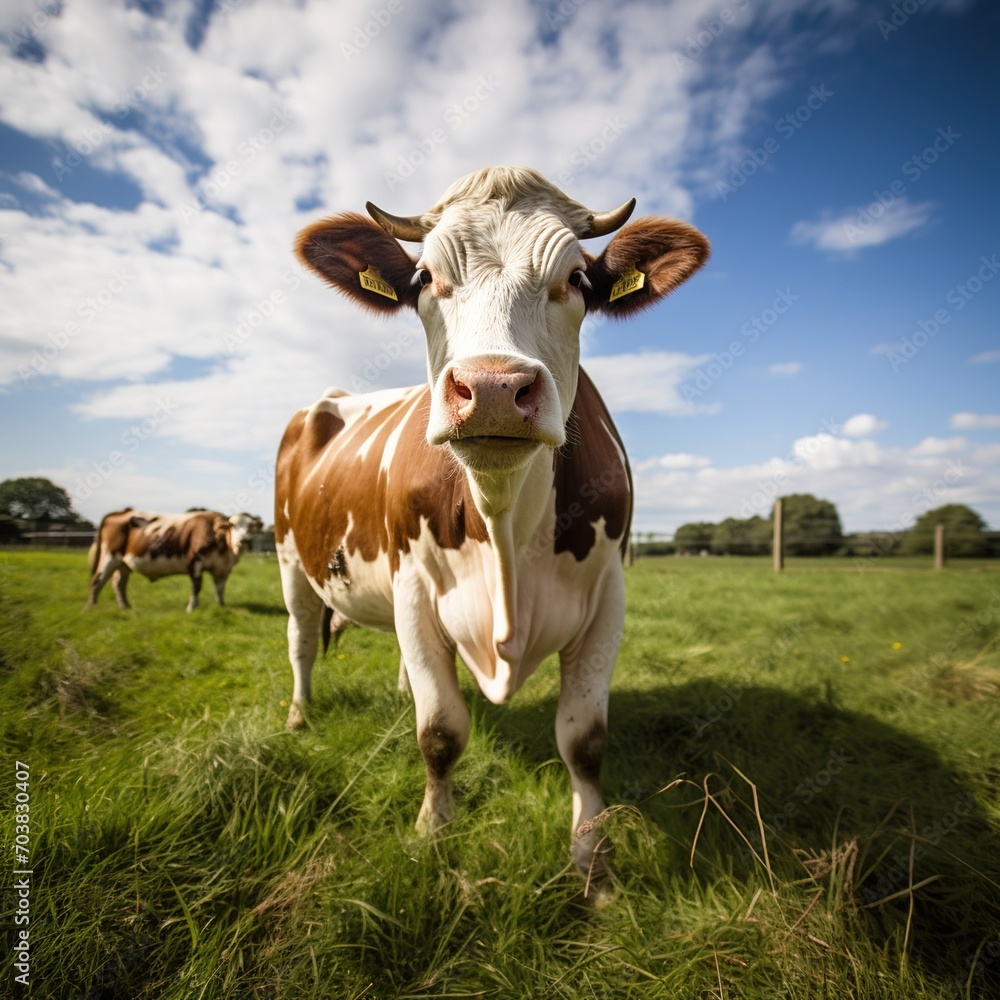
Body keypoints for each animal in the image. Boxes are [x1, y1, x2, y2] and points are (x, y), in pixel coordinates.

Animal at [85, 512, 262, 612]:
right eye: (232, 525)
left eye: (251, 527)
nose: (245, 540)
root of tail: (116, 514)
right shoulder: (194, 562)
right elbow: (196, 587)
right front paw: (191, 608)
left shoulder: (223, 568)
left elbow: (220, 589)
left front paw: (221, 606)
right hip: (109, 557)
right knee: (97, 581)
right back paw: (91, 609)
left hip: (124, 564)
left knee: (118, 583)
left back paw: (125, 607)